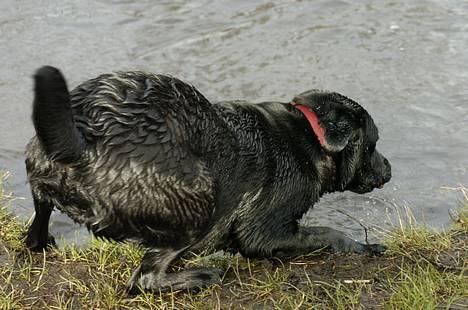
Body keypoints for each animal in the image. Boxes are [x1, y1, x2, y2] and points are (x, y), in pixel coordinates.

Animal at [25, 66, 392, 294]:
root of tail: (83, 138)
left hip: (39, 169)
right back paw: (201, 276)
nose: (388, 169)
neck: (308, 138)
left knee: (38, 215)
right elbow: (327, 233)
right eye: (372, 144)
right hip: (197, 198)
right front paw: (364, 246)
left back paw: (41, 242)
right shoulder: (263, 230)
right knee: (145, 279)